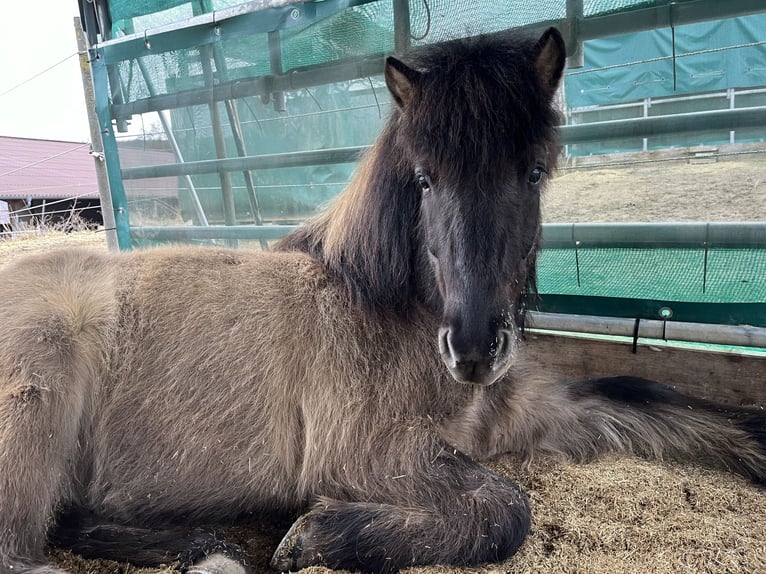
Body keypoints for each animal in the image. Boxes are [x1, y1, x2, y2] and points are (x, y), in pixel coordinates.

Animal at [1, 29, 766, 574]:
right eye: (425, 179)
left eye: (533, 171)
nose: (474, 348)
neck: (382, 307)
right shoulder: (369, 453)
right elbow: (504, 508)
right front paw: (317, 535)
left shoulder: (533, 407)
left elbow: (653, 397)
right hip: (38, 392)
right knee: (22, 550)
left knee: (68, 520)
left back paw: (206, 550)